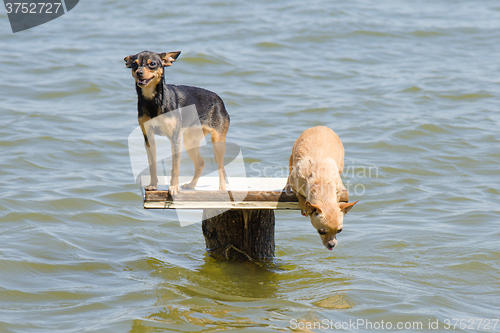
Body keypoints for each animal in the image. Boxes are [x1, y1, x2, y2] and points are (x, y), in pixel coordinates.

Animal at [127, 50, 232, 195]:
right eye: (133, 64)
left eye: (152, 64)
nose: (139, 72)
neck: (153, 99)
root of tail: (219, 100)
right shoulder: (149, 138)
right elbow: (152, 165)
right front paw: (153, 185)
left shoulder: (175, 138)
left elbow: (175, 166)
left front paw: (174, 187)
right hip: (190, 141)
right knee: (200, 163)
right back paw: (191, 185)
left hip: (217, 142)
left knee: (220, 166)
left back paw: (221, 189)